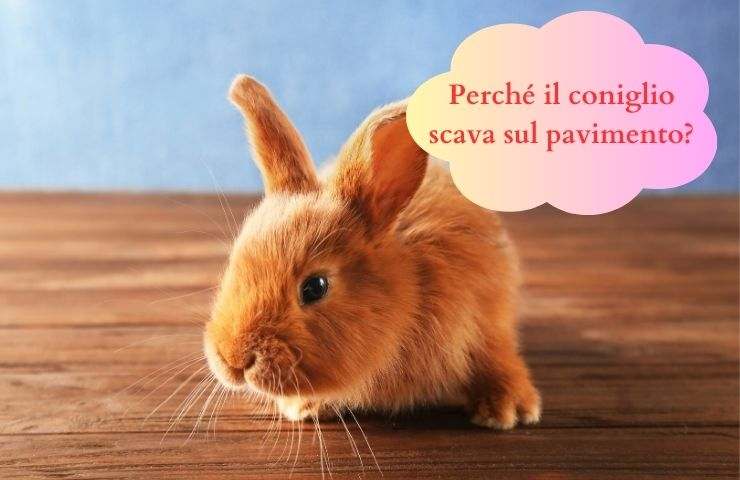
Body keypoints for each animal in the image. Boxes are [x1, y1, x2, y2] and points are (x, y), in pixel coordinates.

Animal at [203, 75, 541, 430]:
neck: (410, 293)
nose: (233, 359)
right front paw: (305, 406)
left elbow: (494, 359)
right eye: (234, 262)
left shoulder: (484, 319)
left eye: (315, 287)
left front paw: (508, 410)